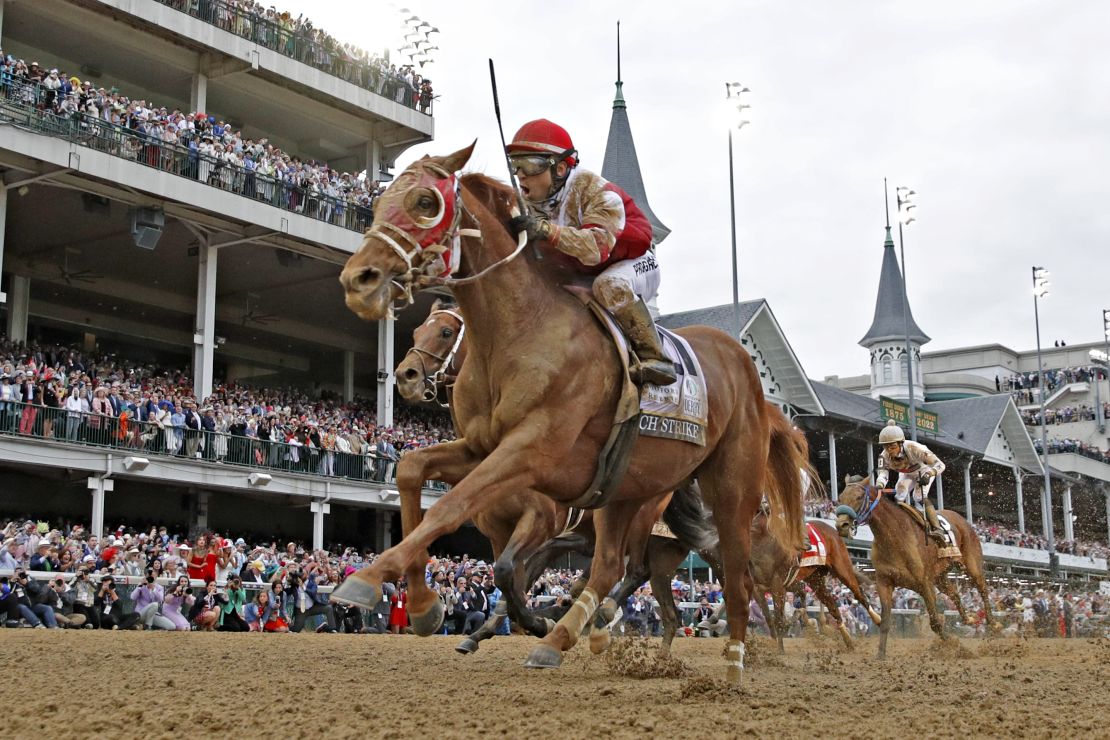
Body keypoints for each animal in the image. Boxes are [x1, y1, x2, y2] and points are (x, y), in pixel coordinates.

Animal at [330, 144, 808, 683]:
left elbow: (459, 514)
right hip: (626, 490)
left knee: (732, 574)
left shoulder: (535, 460)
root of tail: (747, 369)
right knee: (612, 567)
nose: (358, 279)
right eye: (379, 201)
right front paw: (425, 605)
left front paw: (369, 578)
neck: (521, 331)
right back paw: (568, 636)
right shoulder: (483, 452)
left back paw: (731, 663)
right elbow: (414, 471)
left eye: (424, 202)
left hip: (728, 485)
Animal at [834, 474, 1003, 661]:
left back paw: (993, 623)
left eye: (858, 497)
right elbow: (885, 622)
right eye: (840, 498)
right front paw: (880, 654)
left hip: (971, 564)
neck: (893, 538)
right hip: (940, 577)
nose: (841, 526)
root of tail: (962, 519)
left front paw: (954, 646)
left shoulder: (924, 583)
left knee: (982, 589)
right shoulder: (884, 582)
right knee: (955, 593)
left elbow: (935, 622)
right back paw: (969, 619)